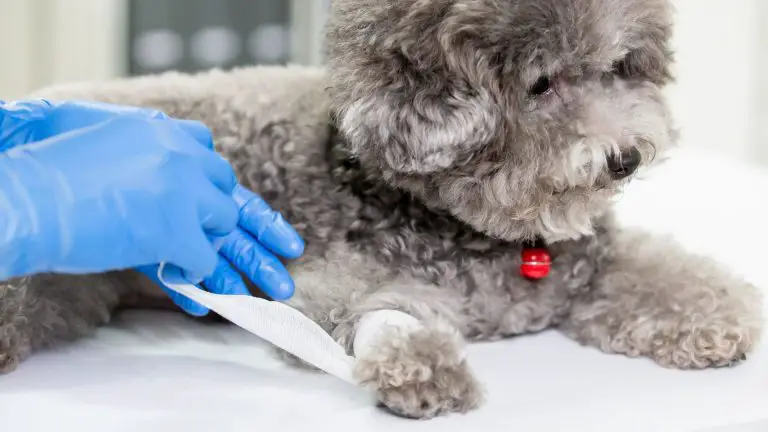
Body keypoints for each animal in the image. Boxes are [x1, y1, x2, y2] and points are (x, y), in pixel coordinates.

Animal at [1, 0, 760, 420]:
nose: (625, 157)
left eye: (618, 67)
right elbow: (367, 313)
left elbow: (660, 271)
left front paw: (714, 317)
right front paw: (418, 362)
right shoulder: (327, 281)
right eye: (542, 83)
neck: (493, 237)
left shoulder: (589, 262)